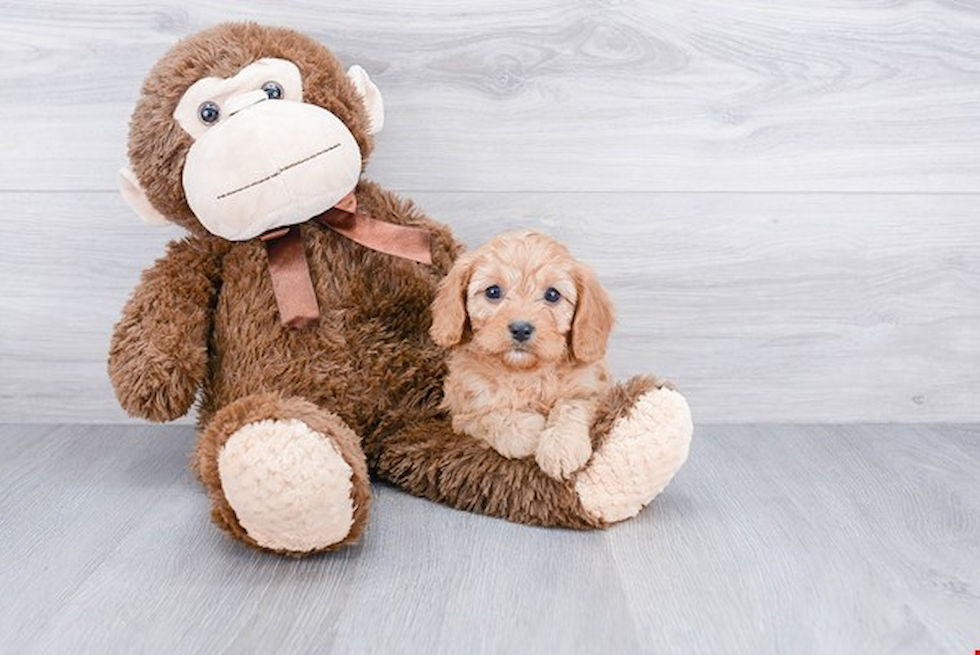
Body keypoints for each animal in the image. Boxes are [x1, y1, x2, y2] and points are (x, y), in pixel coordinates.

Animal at [428, 231, 612, 482]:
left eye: (552, 295)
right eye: (493, 292)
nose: (521, 329)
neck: (525, 372)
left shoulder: (592, 388)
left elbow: (572, 405)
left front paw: (561, 446)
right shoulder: (463, 411)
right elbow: (490, 417)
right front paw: (531, 431)